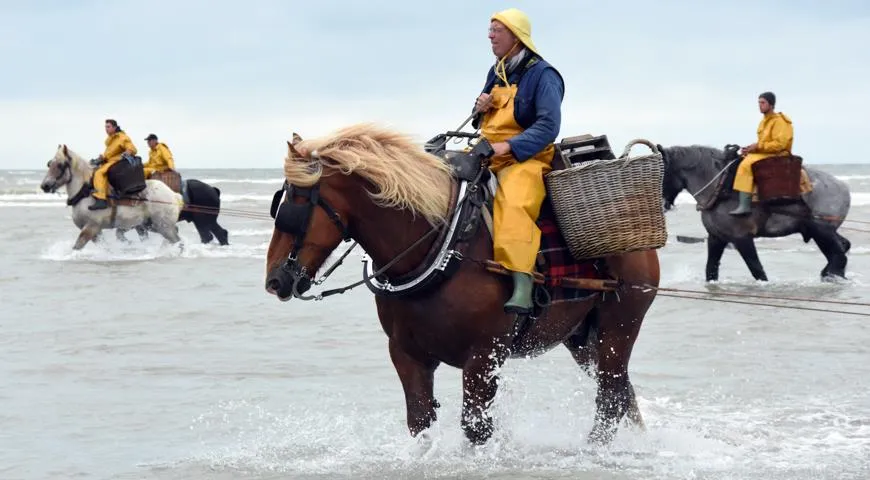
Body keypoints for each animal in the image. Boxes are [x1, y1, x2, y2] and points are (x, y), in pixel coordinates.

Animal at [41, 143, 185, 249]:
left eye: (60, 165)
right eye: (49, 164)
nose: (45, 186)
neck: (85, 193)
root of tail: (173, 195)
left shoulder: (91, 228)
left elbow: (77, 246)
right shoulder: (95, 232)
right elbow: (105, 247)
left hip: (163, 227)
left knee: (178, 240)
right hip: (151, 225)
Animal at [264, 124, 660, 446]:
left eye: (297, 203)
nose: (274, 280)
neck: (442, 245)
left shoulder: (483, 357)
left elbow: (476, 428)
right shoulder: (406, 354)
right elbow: (420, 424)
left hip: (619, 326)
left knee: (610, 397)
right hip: (581, 337)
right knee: (621, 392)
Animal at [660, 142, 852, 282]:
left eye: (661, 173)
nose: (661, 204)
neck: (721, 188)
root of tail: (843, 187)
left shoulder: (742, 238)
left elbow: (757, 270)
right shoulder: (716, 238)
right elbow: (711, 270)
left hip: (821, 231)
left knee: (839, 257)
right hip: (822, 232)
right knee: (842, 250)